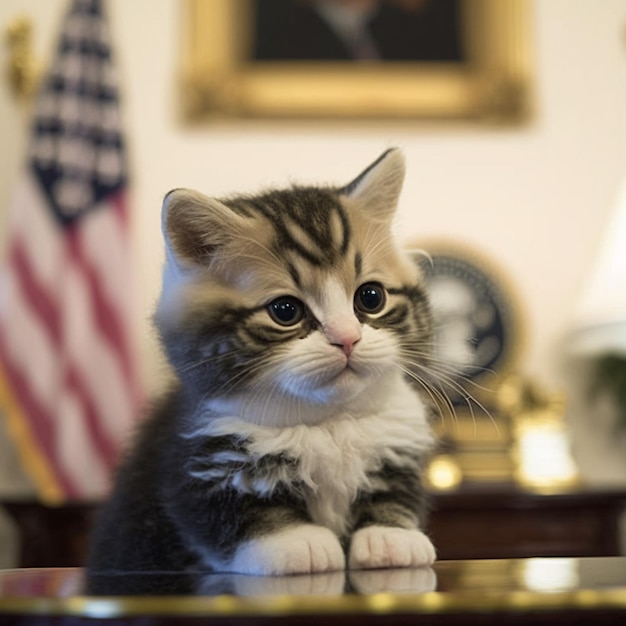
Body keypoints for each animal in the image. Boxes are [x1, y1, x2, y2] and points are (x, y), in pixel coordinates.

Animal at [88, 147, 436, 576]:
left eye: (370, 297)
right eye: (285, 310)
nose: (347, 338)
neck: (328, 422)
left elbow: (395, 494)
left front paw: (392, 536)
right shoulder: (193, 461)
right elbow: (237, 510)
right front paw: (296, 543)